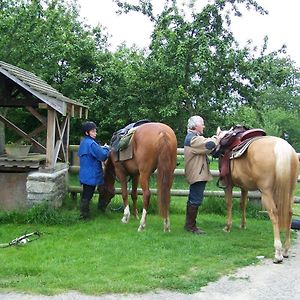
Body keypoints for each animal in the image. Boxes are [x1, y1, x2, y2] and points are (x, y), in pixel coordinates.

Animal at [214, 127, 298, 264]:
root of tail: (282, 147)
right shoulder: (244, 187)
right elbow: (243, 204)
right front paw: (243, 225)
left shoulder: (228, 185)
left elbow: (229, 203)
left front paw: (227, 227)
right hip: (290, 191)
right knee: (289, 213)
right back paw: (285, 250)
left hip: (266, 192)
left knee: (274, 214)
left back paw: (278, 253)